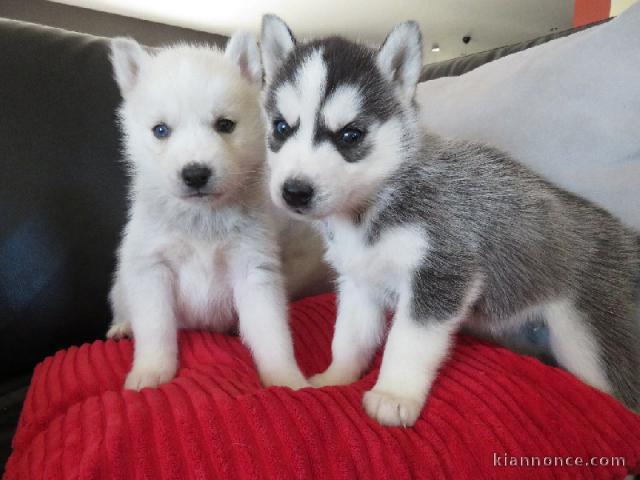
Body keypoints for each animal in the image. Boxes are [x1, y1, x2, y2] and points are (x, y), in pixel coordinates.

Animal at [107, 32, 324, 390]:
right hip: (122, 286)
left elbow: (272, 333)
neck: (202, 220)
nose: (195, 174)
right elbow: (155, 328)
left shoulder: (253, 269)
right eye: (161, 130)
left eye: (225, 124)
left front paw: (286, 378)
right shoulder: (151, 270)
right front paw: (150, 371)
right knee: (123, 307)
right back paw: (123, 326)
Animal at [260, 15, 640, 428]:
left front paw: (394, 394)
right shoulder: (361, 281)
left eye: (350, 135)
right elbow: (349, 337)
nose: (294, 191)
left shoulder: (443, 271)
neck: (371, 207)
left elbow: (407, 340)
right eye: (281, 128)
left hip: (590, 344)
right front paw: (334, 380)